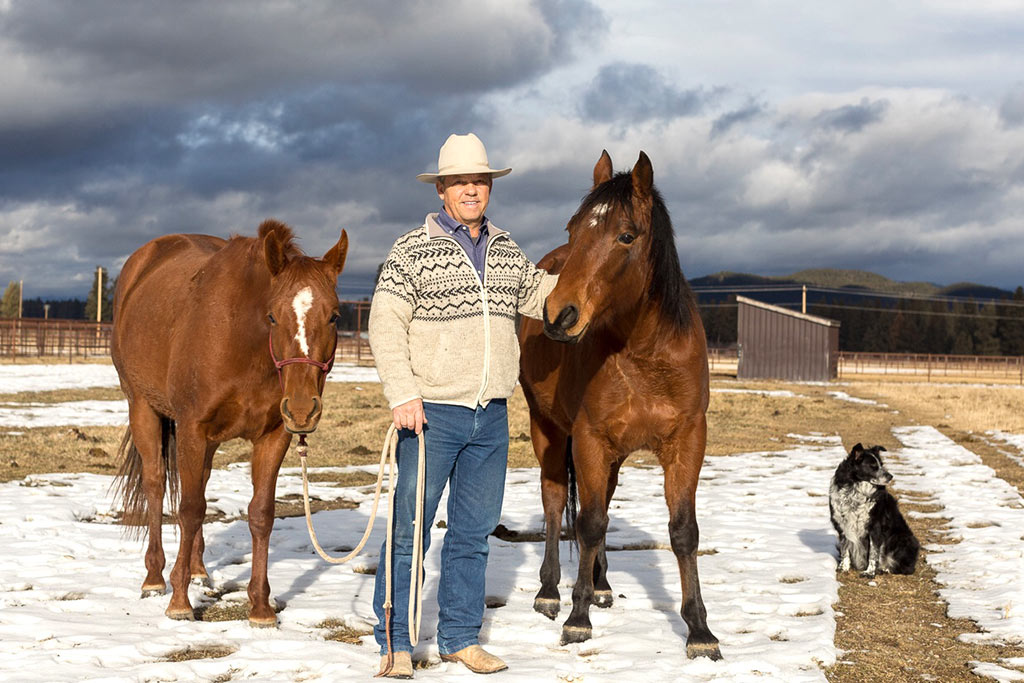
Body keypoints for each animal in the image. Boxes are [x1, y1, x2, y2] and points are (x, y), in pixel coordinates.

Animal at [110, 222, 346, 626]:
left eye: (333, 316)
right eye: (272, 316)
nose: (302, 409)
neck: (244, 341)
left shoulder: (273, 436)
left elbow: (261, 513)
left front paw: (261, 607)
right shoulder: (192, 428)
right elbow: (189, 509)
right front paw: (179, 602)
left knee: (200, 483)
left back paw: (197, 569)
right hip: (143, 408)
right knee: (156, 483)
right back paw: (155, 577)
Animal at [520, 152, 720, 659]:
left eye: (626, 235)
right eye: (573, 229)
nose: (559, 315)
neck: (646, 354)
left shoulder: (687, 441)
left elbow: (683, 531)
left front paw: (700, 631)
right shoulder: (589, 439)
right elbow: (587, 523)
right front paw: (576, 617)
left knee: (603, 501)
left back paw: (602, 584)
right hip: (548, 429)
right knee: (556, 501)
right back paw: (549, 590)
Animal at [831, 444, 921, 577]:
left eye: (881, 464)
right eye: (873, 466)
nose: (890, 476)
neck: (855, 489)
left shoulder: (875, 527)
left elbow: (873, 553)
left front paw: (870, 572)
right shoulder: (842, 524)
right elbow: (844, 549)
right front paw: (844, 568)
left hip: (902, 539)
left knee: (906, 568)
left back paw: (885, 569)